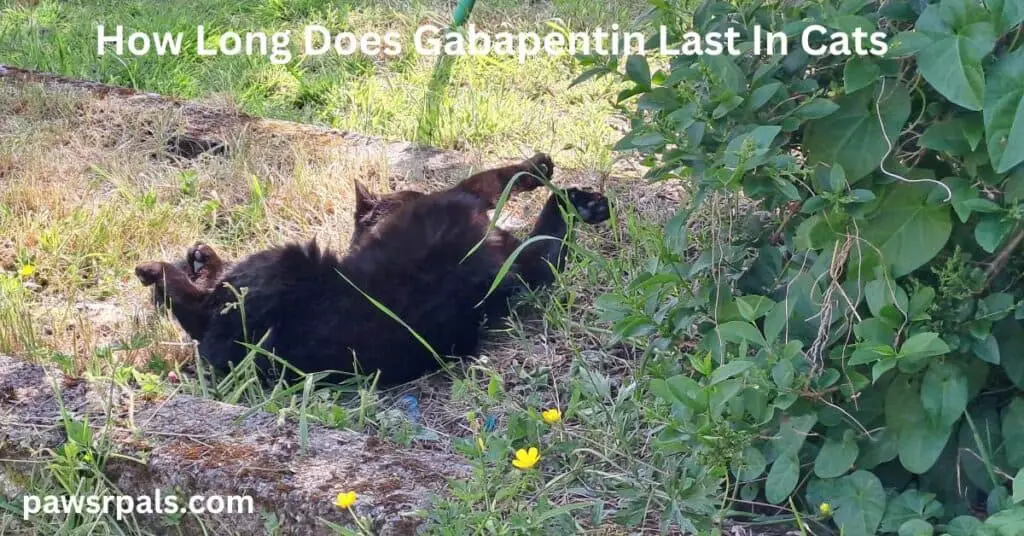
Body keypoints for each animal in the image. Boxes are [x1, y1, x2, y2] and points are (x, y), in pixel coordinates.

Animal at [140, 153, 610, 385]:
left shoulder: (518, 257)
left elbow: (510, 192)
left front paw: (570, 195)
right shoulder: (481, 218)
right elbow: (499, 180)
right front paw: (551, 179)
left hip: (278, 262)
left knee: (199, 303)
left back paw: (168, 267)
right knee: (198, 303)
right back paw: (176, 265)